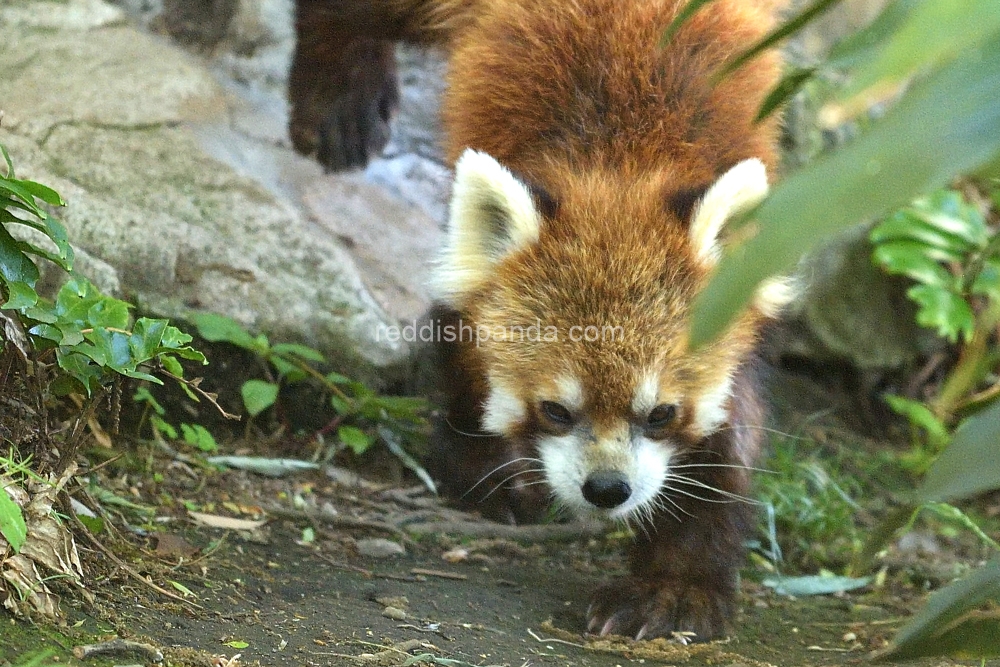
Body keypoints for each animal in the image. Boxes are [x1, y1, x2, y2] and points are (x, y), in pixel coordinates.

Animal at [292, 0, 792, 640]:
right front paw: (486, 471)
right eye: (555, 409)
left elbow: (727, 446)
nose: (606, 489)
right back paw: (336, 97)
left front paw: (674, 586)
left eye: (661, 414)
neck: (622, 162)